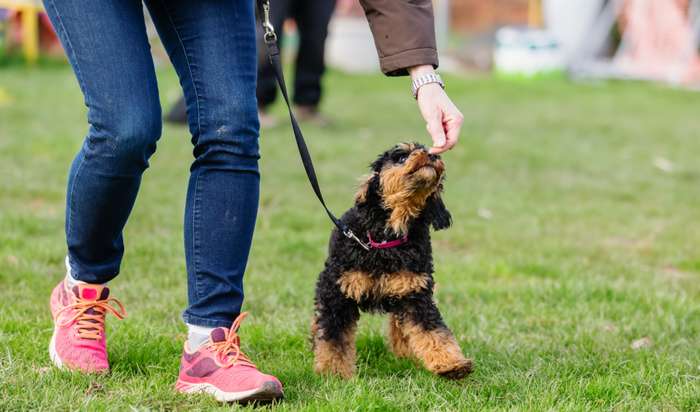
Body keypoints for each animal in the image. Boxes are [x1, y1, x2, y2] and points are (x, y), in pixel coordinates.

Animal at [314, 142, 474, 380]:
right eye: (401, 157)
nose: (433, 155)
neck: (387, 241)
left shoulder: (415, 294)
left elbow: (434, 331)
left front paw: (452, 364)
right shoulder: (337, 292)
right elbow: (334, 337)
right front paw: (333, 373)